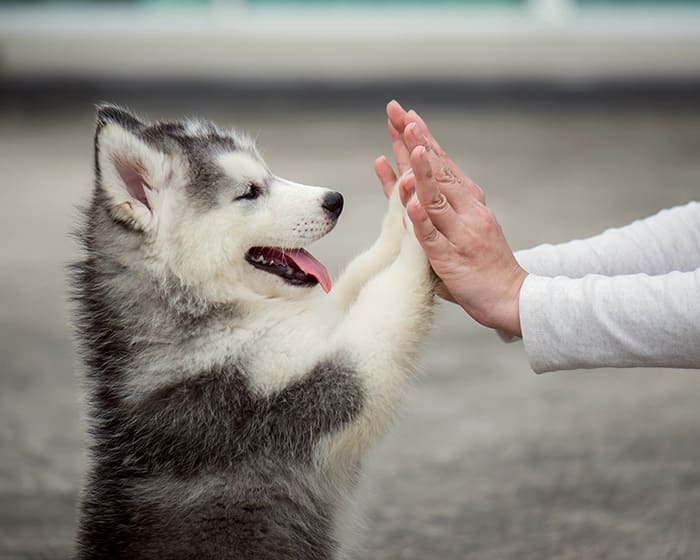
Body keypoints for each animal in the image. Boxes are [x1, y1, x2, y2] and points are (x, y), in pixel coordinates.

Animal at [69, 106, 432, 560]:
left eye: (268, 175)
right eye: (249, 192)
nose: (335, 200)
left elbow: (358, 276)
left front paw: (405, 198)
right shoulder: (294, 396)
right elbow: (385, 300)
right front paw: (426, 227)